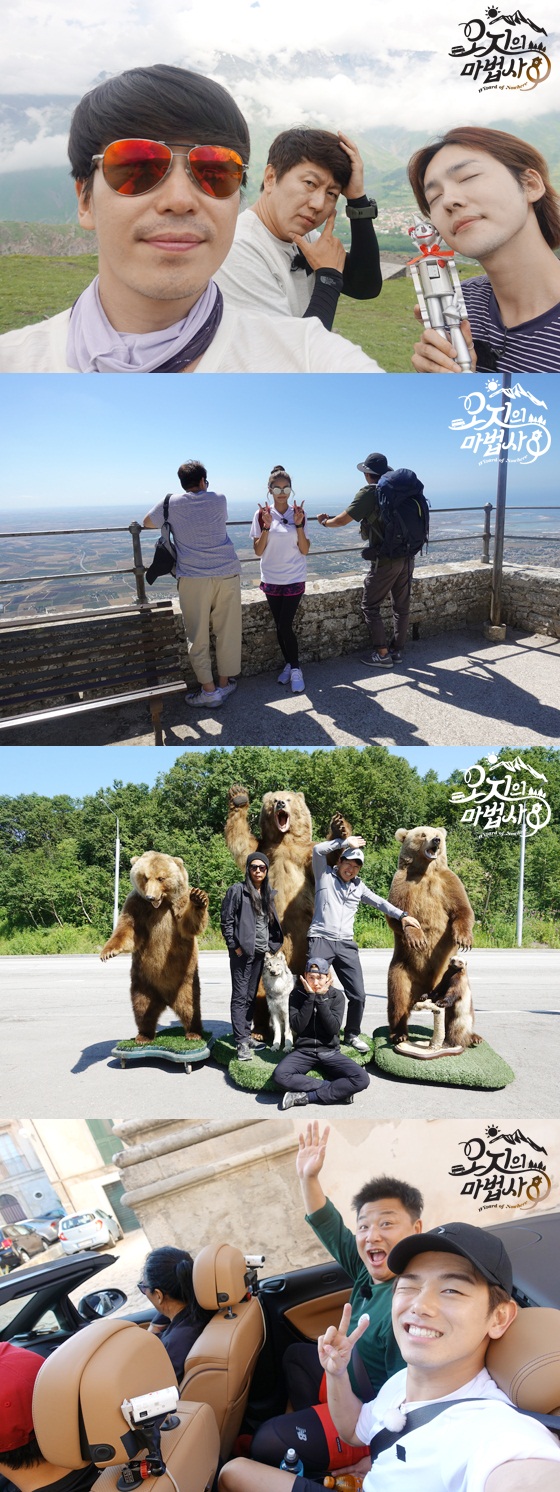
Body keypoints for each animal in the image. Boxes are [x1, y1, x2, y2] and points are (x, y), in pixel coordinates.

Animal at [100, 847, 209, 1044]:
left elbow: (189, 925)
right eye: (145, 877)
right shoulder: (137, 906)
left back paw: (194, 1033)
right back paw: (144, 1035)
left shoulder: (178, 903)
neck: (161, 905)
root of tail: (166, 999)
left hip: (185, 982)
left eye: (161, 878)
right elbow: (127, 929)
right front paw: (108, 952)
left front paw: (199, 897)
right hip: (142, 982)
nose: (150, 896)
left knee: (190, 1006)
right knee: (142, 1009)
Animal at [388, 829, 474, 1038]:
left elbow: (462, 909)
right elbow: (396, 913)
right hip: (402, 969)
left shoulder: (448, 883)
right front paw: (418, 939)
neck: (425, 872)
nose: (436, 840)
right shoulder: (403, 883)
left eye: (438, 834)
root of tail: (425, 989)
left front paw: (464, 940)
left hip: (448, 975)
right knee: (398, 999)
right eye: (422, 834)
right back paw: (399, 1033)